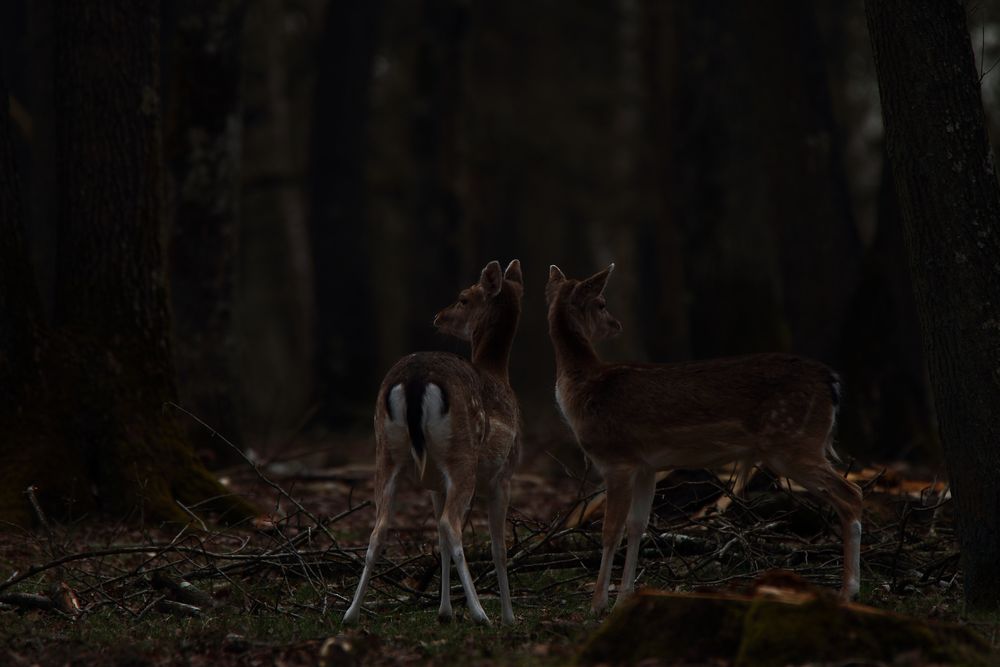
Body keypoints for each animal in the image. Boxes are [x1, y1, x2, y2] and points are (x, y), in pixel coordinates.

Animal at [342, 260, 524, 628]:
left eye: (464, 298)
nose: (438, 316)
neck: (498, 374)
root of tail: (414, 380)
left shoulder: (434, 485)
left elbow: (439, 543)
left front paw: (444, 611)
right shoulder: (504, 475)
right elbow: (498, 548)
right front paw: (509, 617)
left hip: (386, 452)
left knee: (380, 528)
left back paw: (350, 614)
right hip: (462, 457)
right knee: (450, 526)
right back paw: (481, 614)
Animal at [544, 262, 864, 616]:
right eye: (601, 304)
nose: (616, 324)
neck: (581, 392)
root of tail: (832, 382)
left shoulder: (617, 459)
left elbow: (609, 530)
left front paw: (598, 604)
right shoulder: (645, 466)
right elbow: (637, 526)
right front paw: (624, 598)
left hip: (793, 443)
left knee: (852, 493)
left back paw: (848, 591)